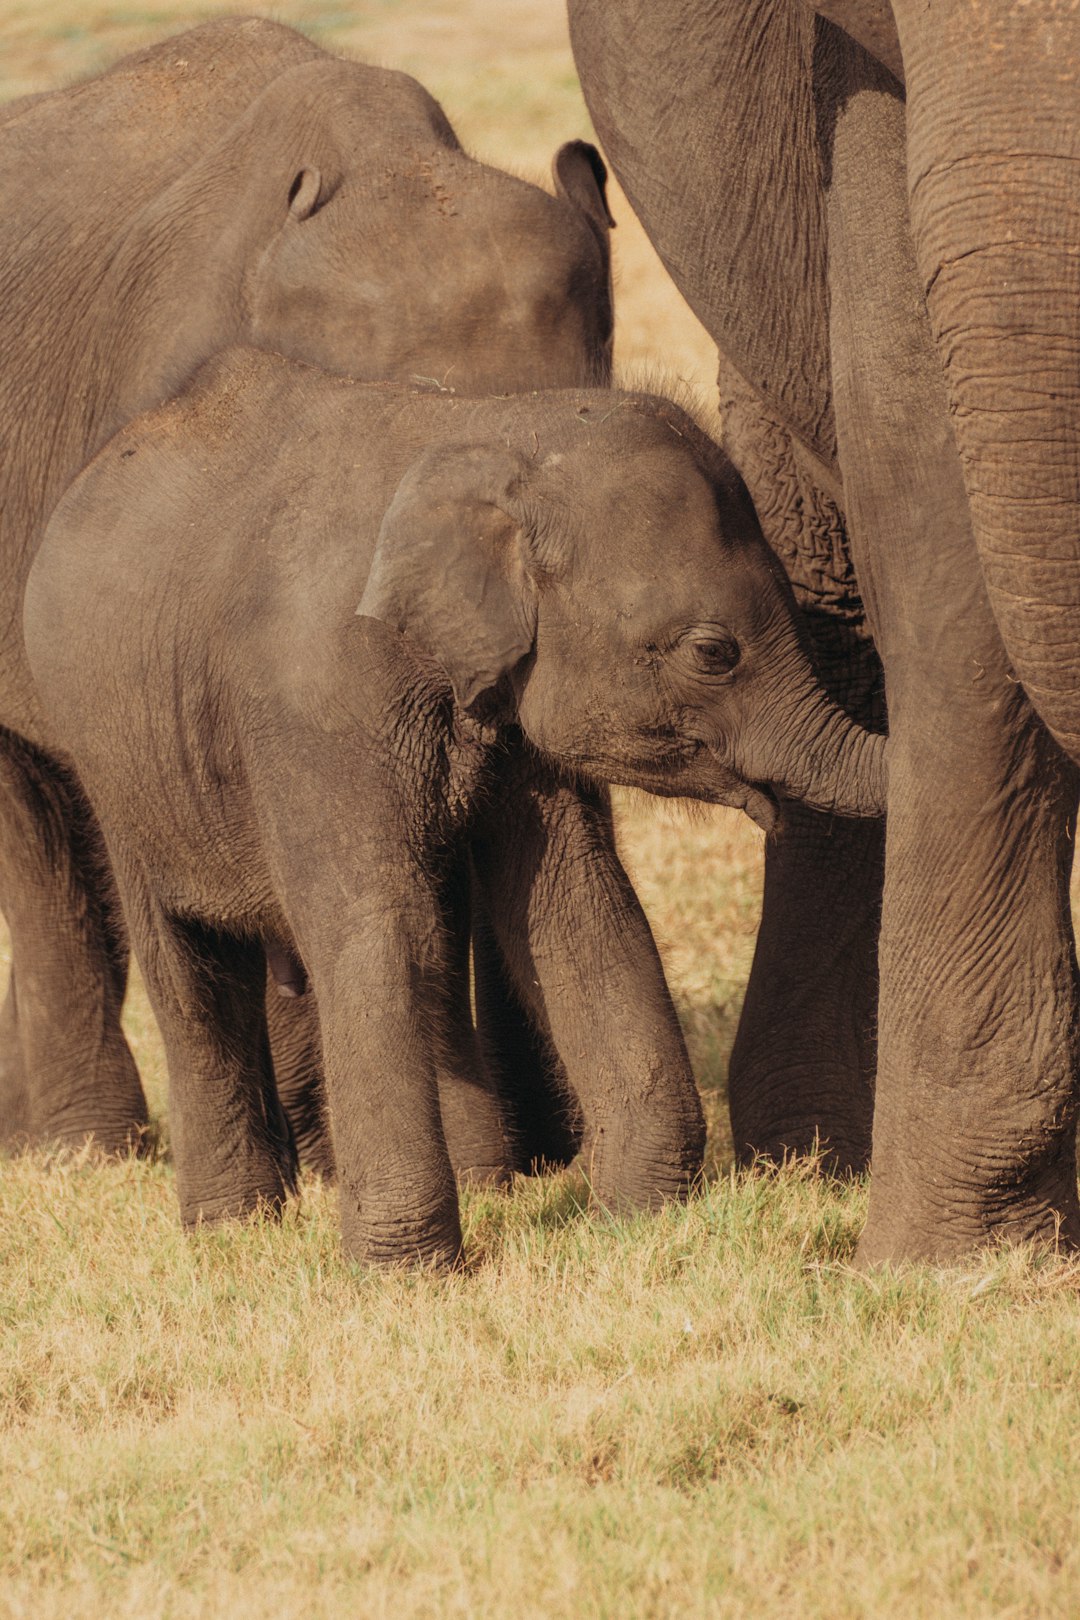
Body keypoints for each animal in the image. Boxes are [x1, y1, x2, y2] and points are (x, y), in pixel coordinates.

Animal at [23, 351, 887, 1263]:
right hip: (113, 760)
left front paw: (640, 1221)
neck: (495, 430)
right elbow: (375, 925)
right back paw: (230, 1231)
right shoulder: (312, 702)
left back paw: (473, 1185)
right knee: (190, 967)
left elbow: (577, 910)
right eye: (713, 653)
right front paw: (407, 1274)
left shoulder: (511, 708)